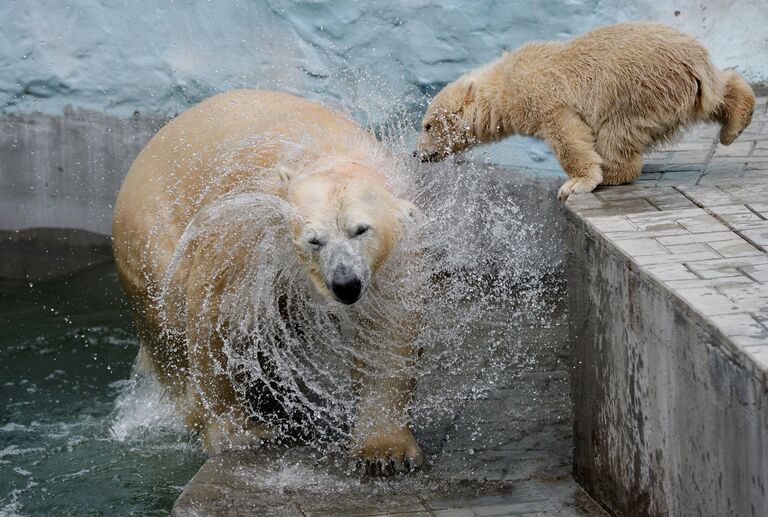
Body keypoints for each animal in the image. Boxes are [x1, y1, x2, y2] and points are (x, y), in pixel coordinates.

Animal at [113, 89, 424, 472]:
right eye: (313, 239)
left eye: (361, 229)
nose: (345, 284)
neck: (322, 151)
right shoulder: (247, 227)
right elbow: (220, 313)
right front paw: (240, 432)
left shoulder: (392, 258)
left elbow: (386, 330)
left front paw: (386, 453)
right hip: (151, 233)